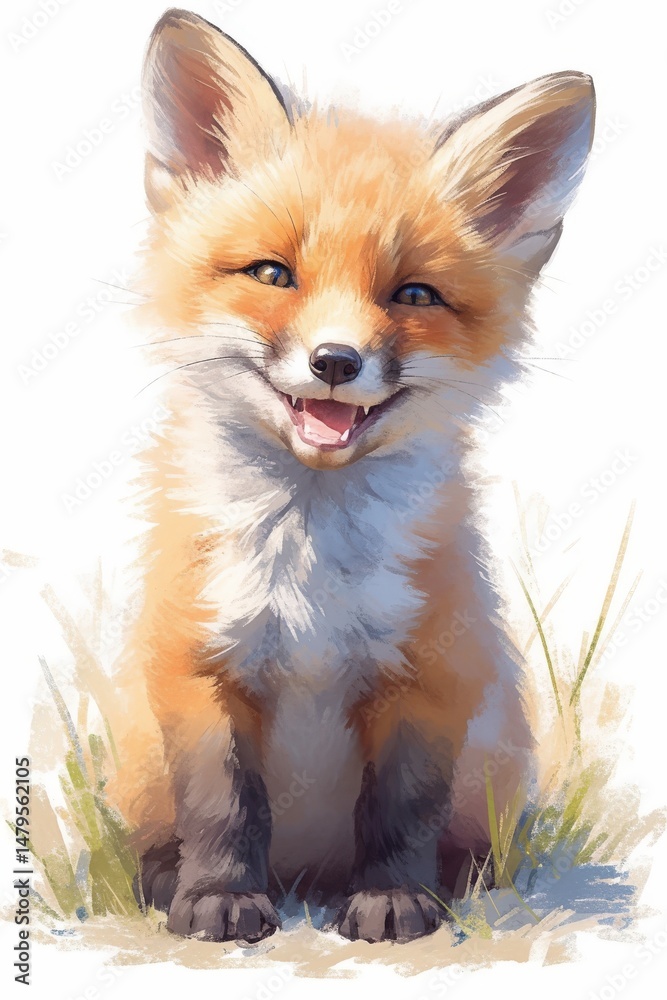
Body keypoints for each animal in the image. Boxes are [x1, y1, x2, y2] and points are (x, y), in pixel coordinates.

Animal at [110, 8, 595, 945]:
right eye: (272, 274)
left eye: (413, 294)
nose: (335, 361)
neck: (308, 577)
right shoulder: (198, 665)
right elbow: (222, 805)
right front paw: (217, 898)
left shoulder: (428, 674)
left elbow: (400, 812)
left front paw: (393, 900)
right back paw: (162, 878)